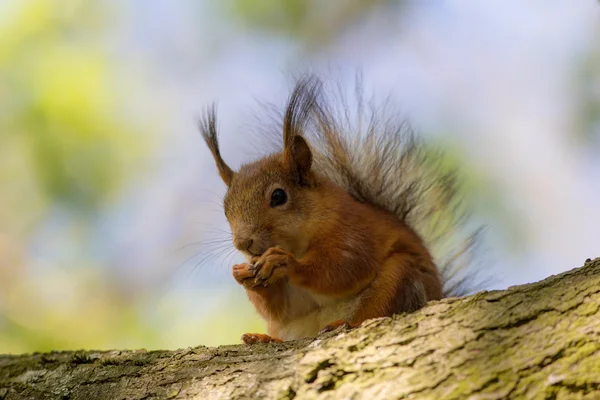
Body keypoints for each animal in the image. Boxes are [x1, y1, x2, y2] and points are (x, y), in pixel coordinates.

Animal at [199, 74, 480, 344]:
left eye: (278, 196)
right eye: (226, 209)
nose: (243, 243)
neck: (296, 240)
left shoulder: (354, 232)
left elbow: (343, 268)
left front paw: (285, 262)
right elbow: (283, 307)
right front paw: (243, 275)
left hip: (399, 278)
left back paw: (342, 323)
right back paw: (264, 337)